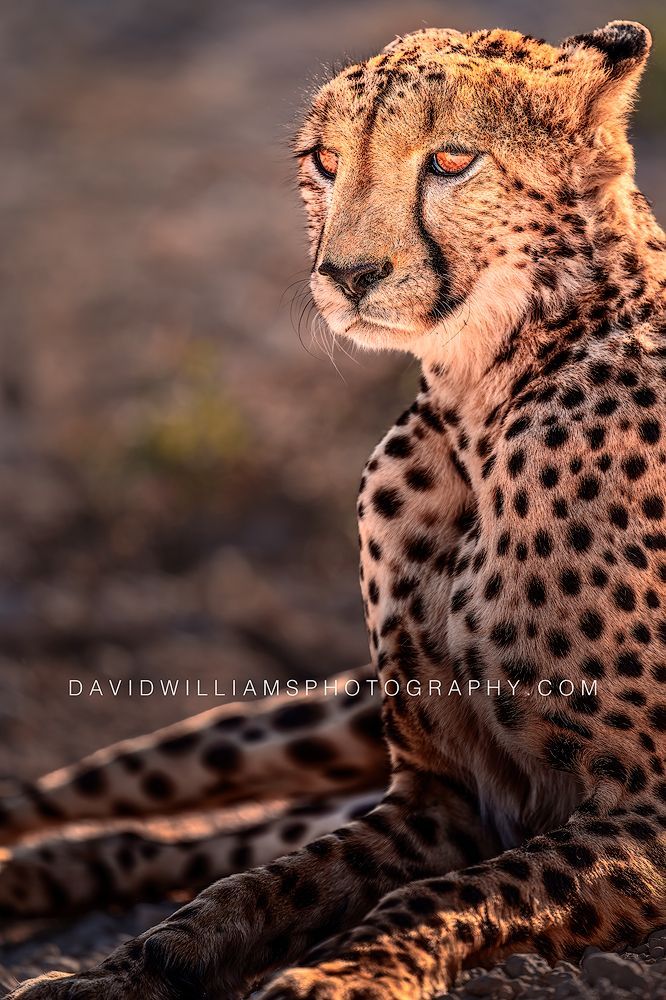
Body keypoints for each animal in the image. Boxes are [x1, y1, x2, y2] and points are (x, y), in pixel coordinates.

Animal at [3, 18, 666, 1000]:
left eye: (453, 158)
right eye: (325, 159)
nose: (349, 275)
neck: (483, 398)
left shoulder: (638, 813)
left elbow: (453, 894)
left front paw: (338, 976)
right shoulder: (435, 793)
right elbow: (261, 886)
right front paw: (120, 971)